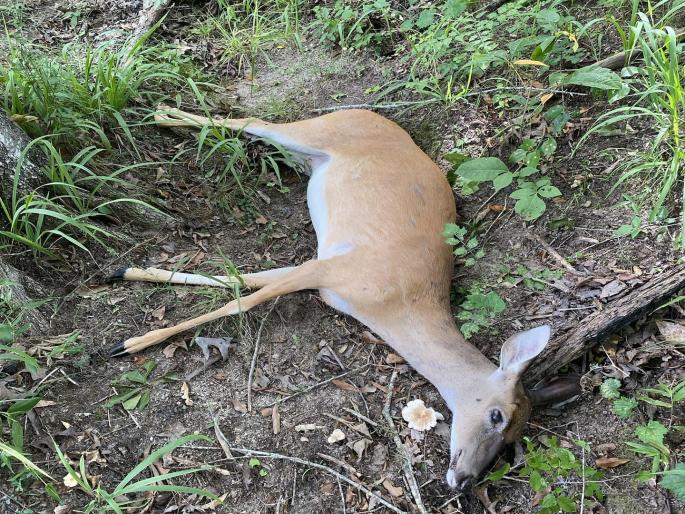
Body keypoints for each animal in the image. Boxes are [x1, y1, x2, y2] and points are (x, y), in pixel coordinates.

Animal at [108, 106, 580, 490]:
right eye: (497, 416)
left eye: (513, 442)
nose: (464, 481)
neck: (397, 303)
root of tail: (366, 112)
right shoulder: (333, 267)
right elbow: (241, 299)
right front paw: (129, 343)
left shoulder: (322, 276)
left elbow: (242, 279)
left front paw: (127, 273)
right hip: (313, 131)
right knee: (251, 121)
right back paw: (159, 113)